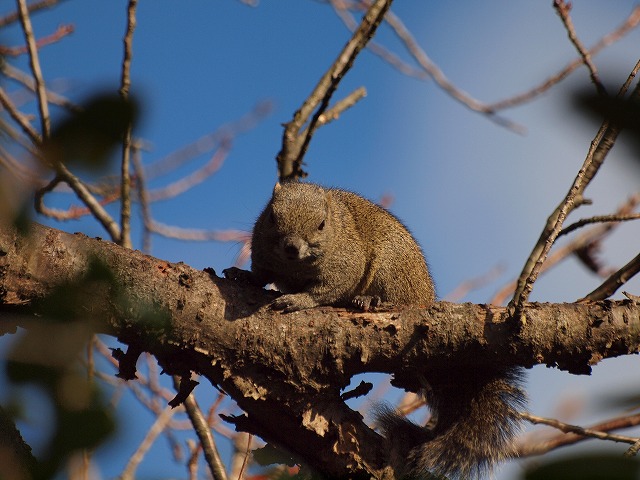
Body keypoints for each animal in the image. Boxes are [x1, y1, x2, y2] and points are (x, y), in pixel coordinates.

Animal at [225, 182, 524, 478]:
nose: (292, 247)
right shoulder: (263, 254)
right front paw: (243, 275)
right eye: (271, 217)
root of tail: (425, 295)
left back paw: (369, 300)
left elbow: (326, 290)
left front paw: (299, 300)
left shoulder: (345, 264)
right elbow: (260, 275)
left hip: (391, 270)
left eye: (322, 224)